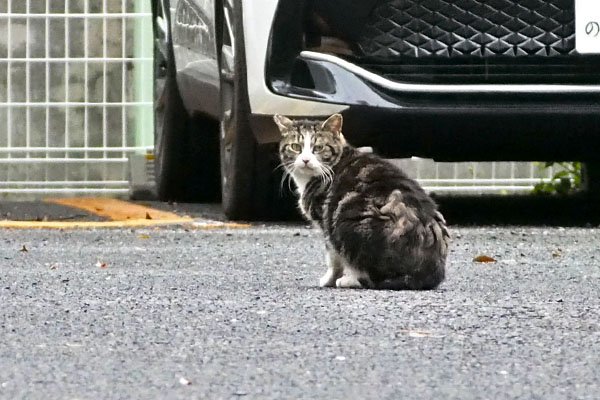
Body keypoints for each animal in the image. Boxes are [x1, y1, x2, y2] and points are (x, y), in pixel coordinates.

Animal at [274, 112, 448, 290]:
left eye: (319, 148)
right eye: (295, 147)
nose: (306, 160)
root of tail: (430, 271)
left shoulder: (326, 222)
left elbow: (333, 258)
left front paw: (329, 280)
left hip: (348, 224)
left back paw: (350, 280)